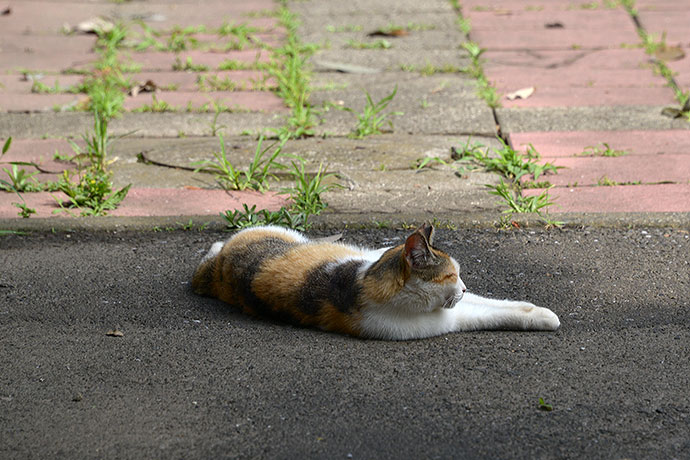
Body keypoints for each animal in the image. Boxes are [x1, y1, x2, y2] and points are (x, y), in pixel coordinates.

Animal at [191, 225, 556, 340]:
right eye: (452, 276)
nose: (464, 288)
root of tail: (217, 271)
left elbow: (499, 302)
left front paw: (537, 307)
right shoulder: (449, 317)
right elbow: (494, 312)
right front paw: (544, 317)